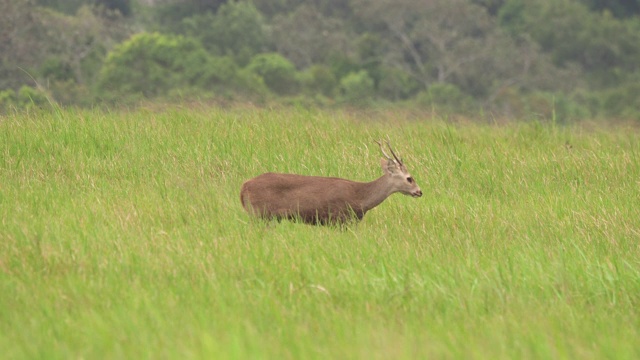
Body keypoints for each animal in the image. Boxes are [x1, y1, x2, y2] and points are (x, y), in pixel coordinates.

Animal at [239, 139, 420, 224]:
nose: (419, 191)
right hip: (260, 213)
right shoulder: (339, 218)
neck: (362, 198)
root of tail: (243, 187)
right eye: (409, 178)